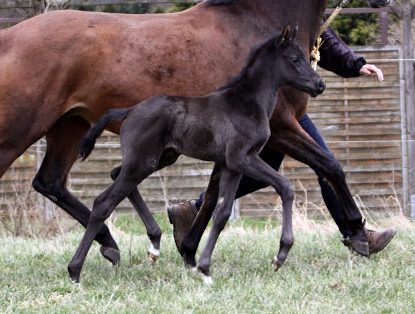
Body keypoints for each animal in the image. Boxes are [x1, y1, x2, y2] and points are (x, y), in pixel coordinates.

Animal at [69, 25, 324, 284]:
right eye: (295, 59)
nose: (319, 85)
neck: (248, 103)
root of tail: (129, 110)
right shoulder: (242, 158)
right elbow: (285, 187)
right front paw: (280, 256)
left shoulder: (231, 165)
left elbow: (222, 213)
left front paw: (204, 269)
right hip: (143, 162)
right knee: (103, 203)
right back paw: (75, 271)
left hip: (160, 158)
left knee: (115, 173)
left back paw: (154, 243)